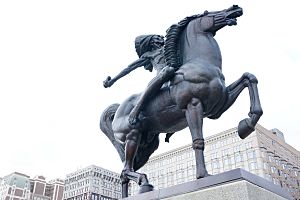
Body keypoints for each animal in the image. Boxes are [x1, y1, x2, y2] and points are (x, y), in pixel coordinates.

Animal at [100, 5, 262, 198]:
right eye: (207, 13)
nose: (235, 8)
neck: (201, 63)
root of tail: (118, 110)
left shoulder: (218, 107)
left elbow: (249, 78)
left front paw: (246, 126)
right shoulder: (193, 105)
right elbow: (198, 141)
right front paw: (203, 175)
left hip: (148, 143)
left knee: (125, 171)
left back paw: (136, 190)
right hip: (133, 135)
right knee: (126, 168)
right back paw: (144, 181)